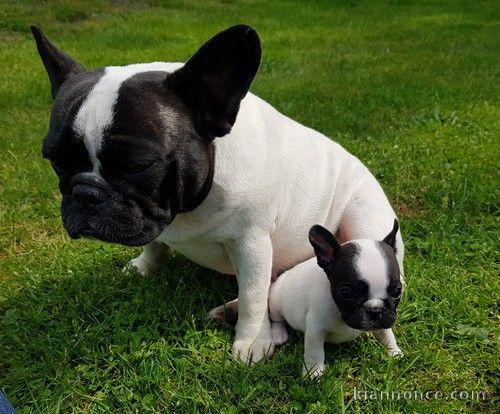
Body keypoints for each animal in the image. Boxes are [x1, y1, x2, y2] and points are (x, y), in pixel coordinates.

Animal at [268, 222, 404, 376]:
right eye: (346, 293)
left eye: (397, 292)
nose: (375, 309)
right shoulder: (315, 329)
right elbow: (314, 352)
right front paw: (313, 372)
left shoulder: (386, 319)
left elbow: (387, 334)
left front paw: (394, 352)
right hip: (275, 301)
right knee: (276, 318)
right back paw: (279, 334)